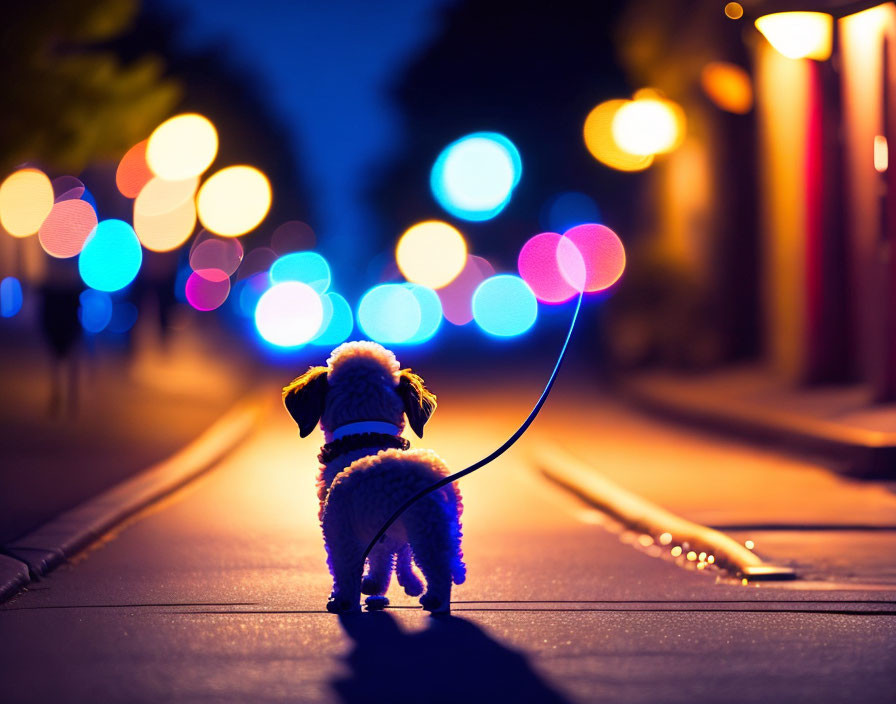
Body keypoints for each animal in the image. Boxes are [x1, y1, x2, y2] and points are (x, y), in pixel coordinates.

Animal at [284, 340, 466, 612]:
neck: (365, 435)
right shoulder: (382, 535)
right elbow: (386, 560)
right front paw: (379, 587)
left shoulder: (340, 531)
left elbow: (346, 571)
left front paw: (343, 598)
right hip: (439, 528)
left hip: (420, 528)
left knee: (436, 570)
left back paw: (433, 599)